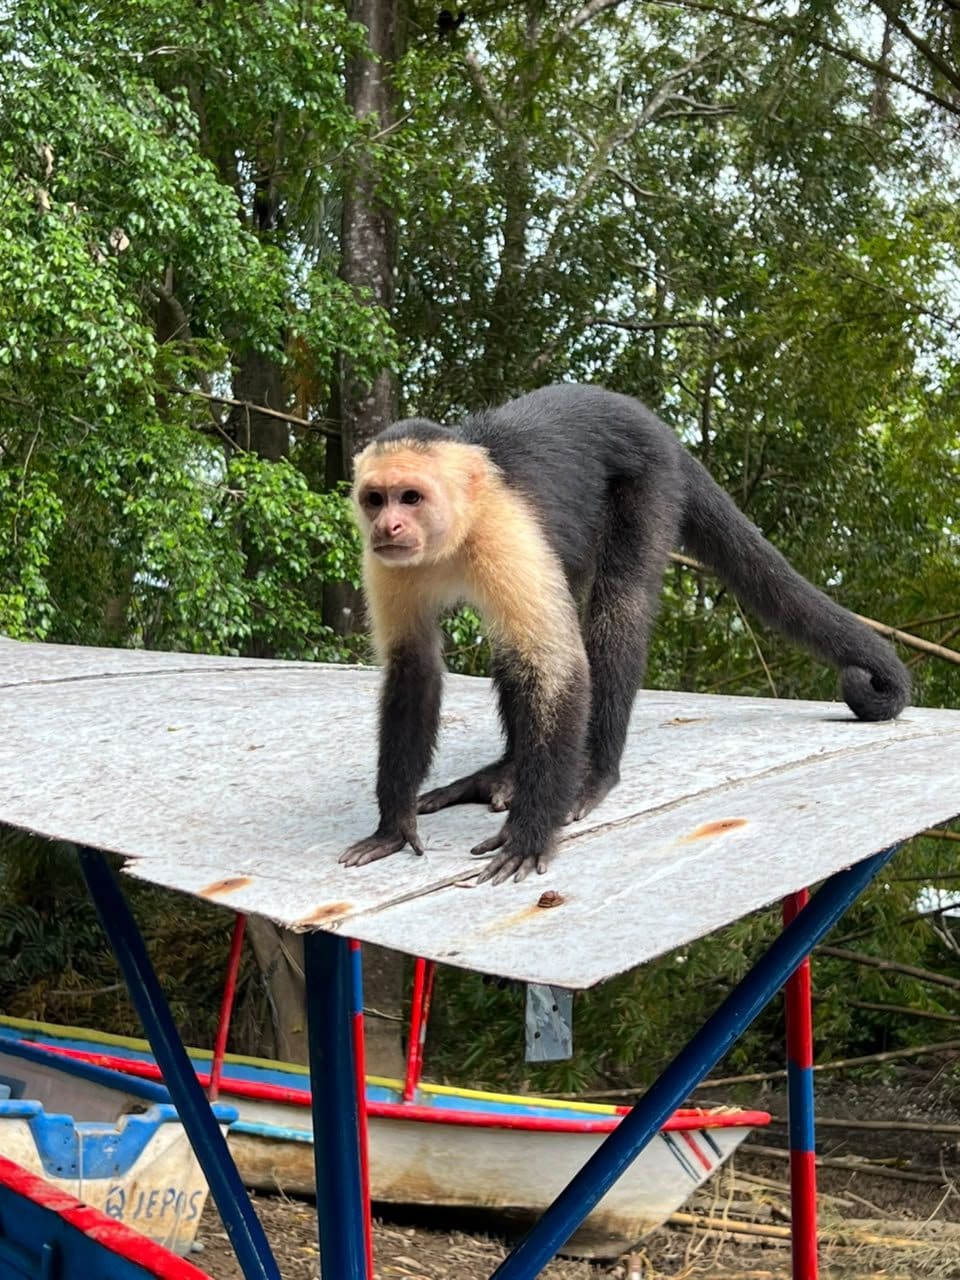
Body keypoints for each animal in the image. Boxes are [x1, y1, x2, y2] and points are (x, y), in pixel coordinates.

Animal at [339, 384, 910, 885]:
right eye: (376, 499)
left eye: (411, 497)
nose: (389, 526)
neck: (454, 536)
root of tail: (644, 415)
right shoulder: (388, 563)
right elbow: (413, 668)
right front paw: (393, 828)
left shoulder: (504, 532)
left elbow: (560, 668)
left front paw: (530, 835)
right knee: (520, 639)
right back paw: (502, 773)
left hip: (649, 478)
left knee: (619, 609)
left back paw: (594, 773)